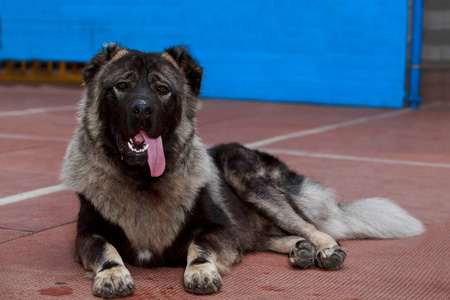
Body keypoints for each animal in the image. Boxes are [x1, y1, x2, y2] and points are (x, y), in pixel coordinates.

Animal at [60, 44, 426, 298]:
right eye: (122, 86)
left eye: (161, 89)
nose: (141, 109)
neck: (143, 181)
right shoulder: (86, 235)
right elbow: (105, 249)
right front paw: (112, 274)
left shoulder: (220, 229)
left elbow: (199, 247)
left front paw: (200, 271)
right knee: (270, 236)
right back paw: (299, 249)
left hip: (246, 178)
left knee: (311, 226)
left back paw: (325, 249)